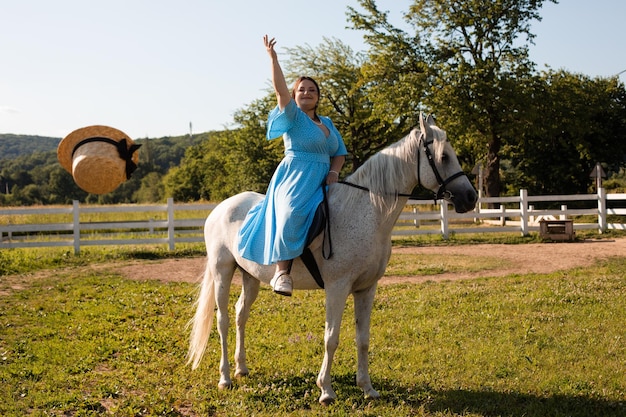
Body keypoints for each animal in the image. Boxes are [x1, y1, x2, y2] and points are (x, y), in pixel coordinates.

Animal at [188, 113, 476, 404]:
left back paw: (241, 368)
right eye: (443, 157)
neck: (366, 211)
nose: (471, 197)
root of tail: (221, 208)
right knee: (223, 320)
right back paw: (225, 378)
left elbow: (363, 338)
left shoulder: (366, 288)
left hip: (250, 276)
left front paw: (367, 388)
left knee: (240, 315)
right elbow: (331, 337)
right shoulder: (337, 288)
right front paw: (326, 390)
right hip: (222, 271)